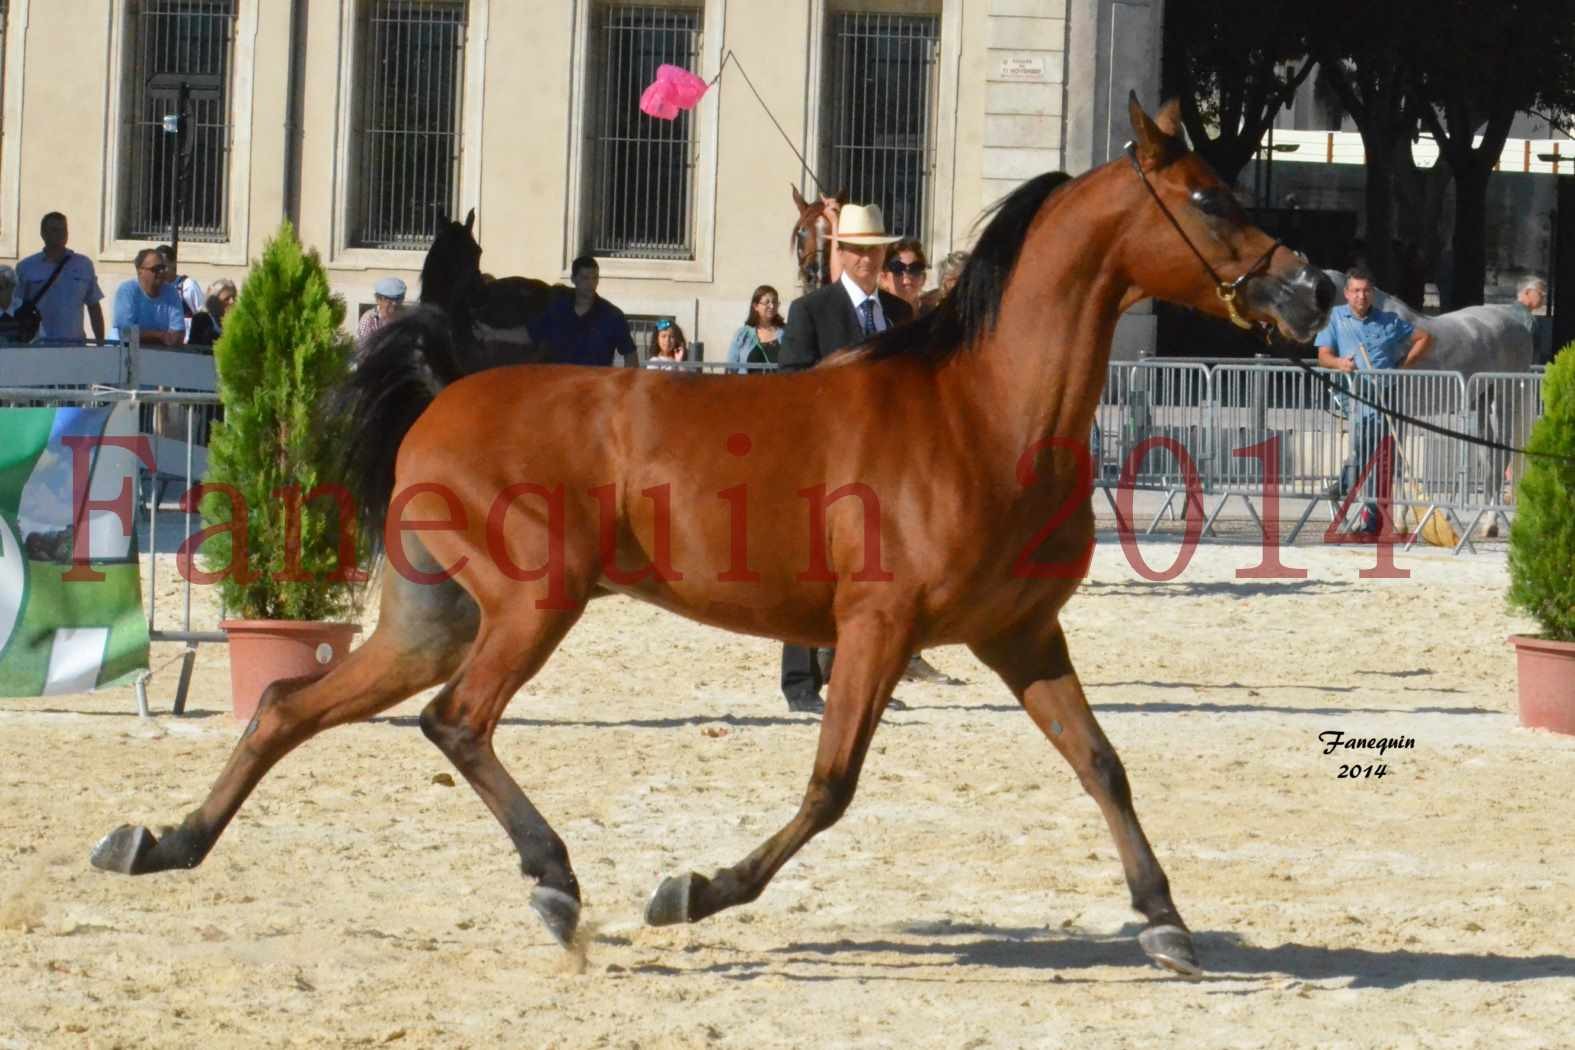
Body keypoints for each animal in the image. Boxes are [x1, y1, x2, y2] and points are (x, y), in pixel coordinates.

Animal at [92, 98, 1335, 976]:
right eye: (1209, 200)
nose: (1314, 293)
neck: (983, 411)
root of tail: (449, 387)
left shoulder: (1022, 637)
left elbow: (1102, 762)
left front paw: (1165, 920)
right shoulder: (878, 627)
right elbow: (831, 785)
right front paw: (690, 891)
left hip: (431, 618)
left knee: (289, 704)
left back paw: (159, 842)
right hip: (529, 606)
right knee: (454, 723)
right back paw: (557, 889)